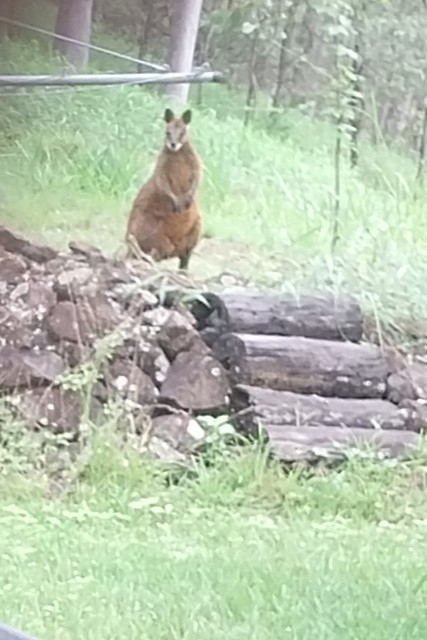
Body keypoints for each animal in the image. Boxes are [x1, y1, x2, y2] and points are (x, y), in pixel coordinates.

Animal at [125, 108, 202, 271]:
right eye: (167, 132)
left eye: (182, 132)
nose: (172, 144)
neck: (177, 153)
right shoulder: (161, 166)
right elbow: (162, 182)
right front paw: (176, 202)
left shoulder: (195, 163)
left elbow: (197, 178)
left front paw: (187, 199)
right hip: (150, 229)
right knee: (152, 253)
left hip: (196, 228)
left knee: (184, 257)